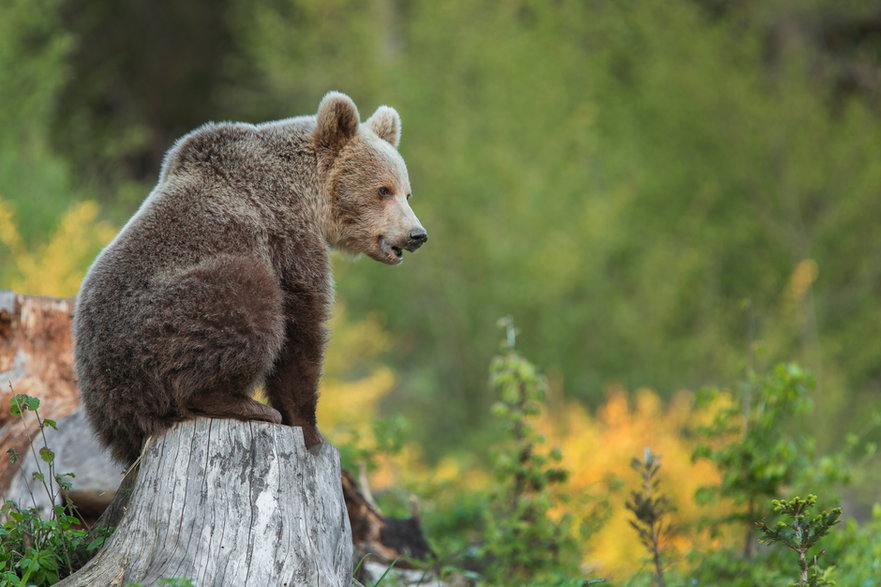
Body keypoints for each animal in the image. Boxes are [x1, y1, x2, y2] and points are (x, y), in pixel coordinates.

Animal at [74, 92, 424, 466]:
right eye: (382, 190)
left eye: (407, 193)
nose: (417, 234)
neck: (307, 193)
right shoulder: (284, 232)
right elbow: (301, 325)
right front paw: (310, 431)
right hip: (157, 326)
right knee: (246, 301)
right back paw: (244, 404)